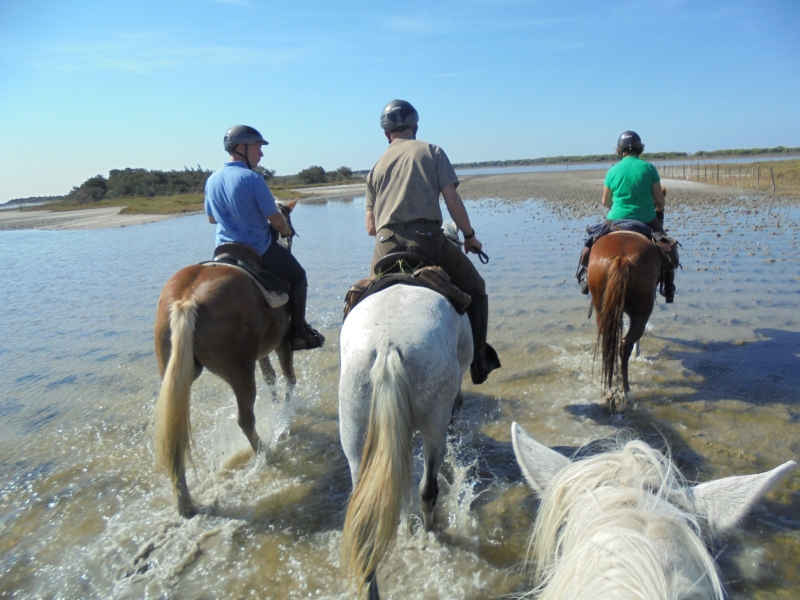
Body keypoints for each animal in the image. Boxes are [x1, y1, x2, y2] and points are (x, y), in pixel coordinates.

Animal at [152, 199, 296, 516]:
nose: (288, 234)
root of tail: (187, 300)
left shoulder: (262, 352)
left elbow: (270, 377)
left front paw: (277, 406)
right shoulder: (282, 344)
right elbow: (288, 378)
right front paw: (284, 415)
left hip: (178, 374)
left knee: (176, 437)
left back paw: (185, 503)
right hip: (239, 372)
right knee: (245, 419)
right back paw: (266, 452)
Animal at [340, 284, 476, 600]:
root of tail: (387, 346)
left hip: (353, 433)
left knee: (364, 523)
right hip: (433, 425)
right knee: (428, 489)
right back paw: (429, 531)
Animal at [588, 227, 664, 410]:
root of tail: (621, 259)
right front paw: (638, 353)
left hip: (602, 308)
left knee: (608, 343)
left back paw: (608, 390)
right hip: (642, 312)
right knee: (625, 344)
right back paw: (626, 389)